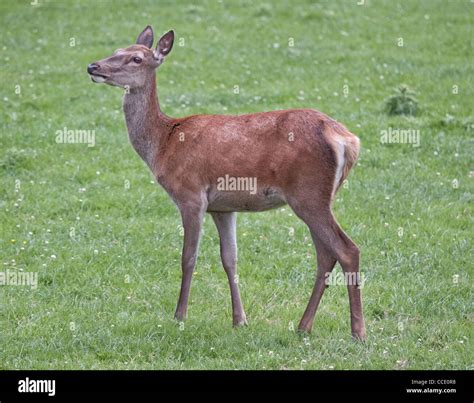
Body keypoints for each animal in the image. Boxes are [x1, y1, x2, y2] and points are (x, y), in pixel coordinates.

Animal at [86, 26, 366, 340]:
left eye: (136, 58)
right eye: (116, 50)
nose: (93, 67)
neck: (163, 144)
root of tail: (347, 140)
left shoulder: (191, 195)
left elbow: (188, 257)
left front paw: (179, 316)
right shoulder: (223, 207)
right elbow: (230, 259)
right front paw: (239, 319)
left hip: (308, 193)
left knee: (347, 249)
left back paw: (357, 331)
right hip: (318, 196)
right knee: (325, 255)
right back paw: (303, 325)